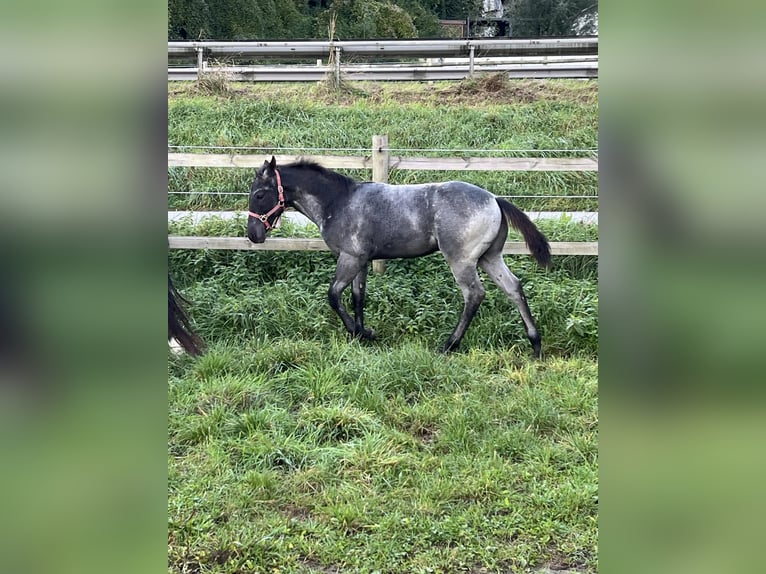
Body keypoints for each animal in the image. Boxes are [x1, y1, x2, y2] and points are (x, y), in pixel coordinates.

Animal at [246, 156, 552, 356]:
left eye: (260, 194)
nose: (253, 234)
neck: (339, 202)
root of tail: (494, 199)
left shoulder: (349, 258)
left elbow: (333, 295)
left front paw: (358, 332)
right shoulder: (361, 261)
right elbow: (358, 296)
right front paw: (364, 335)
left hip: (461, 261)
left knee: (474, 295)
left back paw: (449, 345)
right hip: (490, 257)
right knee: (513, 288)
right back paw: (535, 344)